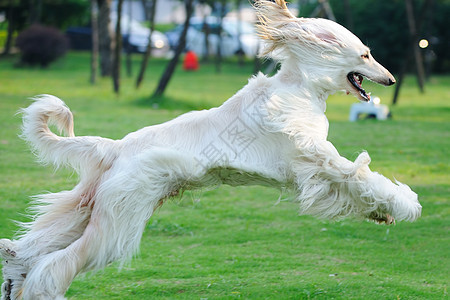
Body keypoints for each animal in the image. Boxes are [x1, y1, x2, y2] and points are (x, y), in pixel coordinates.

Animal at [1, 1, 420, 298]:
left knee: (26, 251)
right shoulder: (315, 159)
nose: (391, 79)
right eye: (365, 54)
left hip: (89, 206)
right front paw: (403, 204)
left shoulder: (311, 169)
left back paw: (13, 275)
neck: (300, 88)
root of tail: (115, 147)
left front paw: (382, 213)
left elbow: (356, 186)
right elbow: (361, 176)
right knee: (54, 265)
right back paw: (40, 290)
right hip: (121, 216)